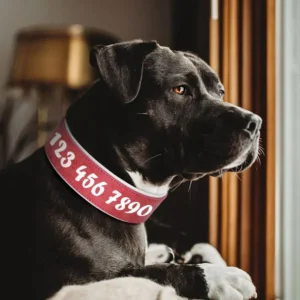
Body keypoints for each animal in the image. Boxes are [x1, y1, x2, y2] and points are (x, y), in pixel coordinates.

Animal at [1, 40, 260, 300]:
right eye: (180, 89)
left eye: (220, 92)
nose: (256, 122)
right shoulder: (70, 283)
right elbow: (150, 273)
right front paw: (219, 277)